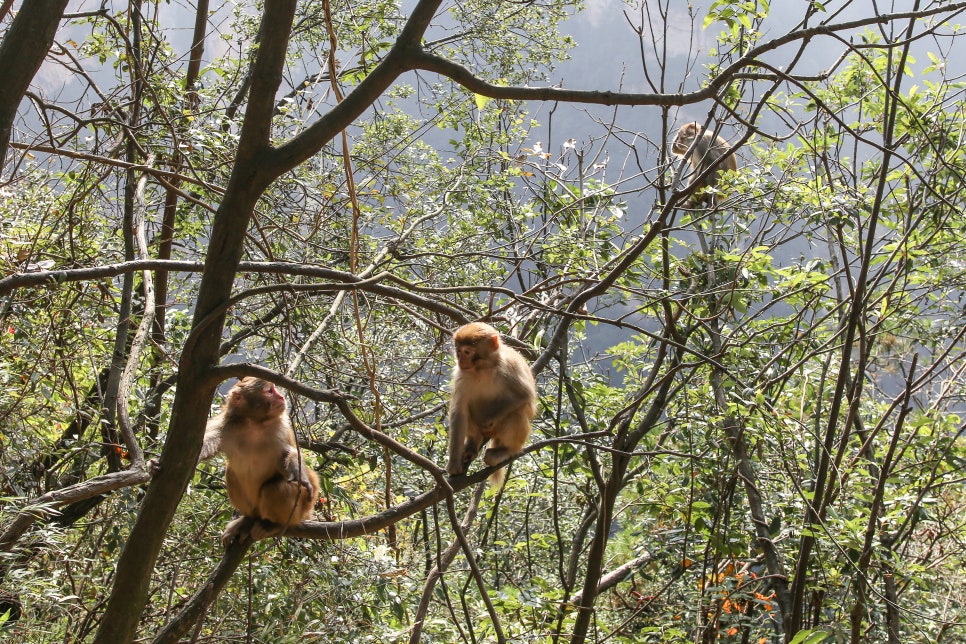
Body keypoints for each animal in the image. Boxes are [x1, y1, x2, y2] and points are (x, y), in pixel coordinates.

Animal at [200, 374, 322, 544]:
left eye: (274, 389)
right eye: (269, 391)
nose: (281, 397)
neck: (255, 424)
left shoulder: (282, 427)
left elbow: (289, 453)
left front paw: (299, 473)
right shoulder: (226, 426)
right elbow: (205, 445)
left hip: (300, 507)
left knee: (274, 489)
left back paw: (273, 525)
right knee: (231, 474)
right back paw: (248, 520)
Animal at [446, 324, 536, 486]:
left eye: (467, 352)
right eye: (459, 351)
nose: (461, 360)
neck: (483, 368)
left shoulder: (509, 368)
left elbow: (524, 395)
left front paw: (485, 420)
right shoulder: (461, 374)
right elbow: (459, 412)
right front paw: (454, 463)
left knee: (517, 413)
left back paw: (506, 450)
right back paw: (473, 442)